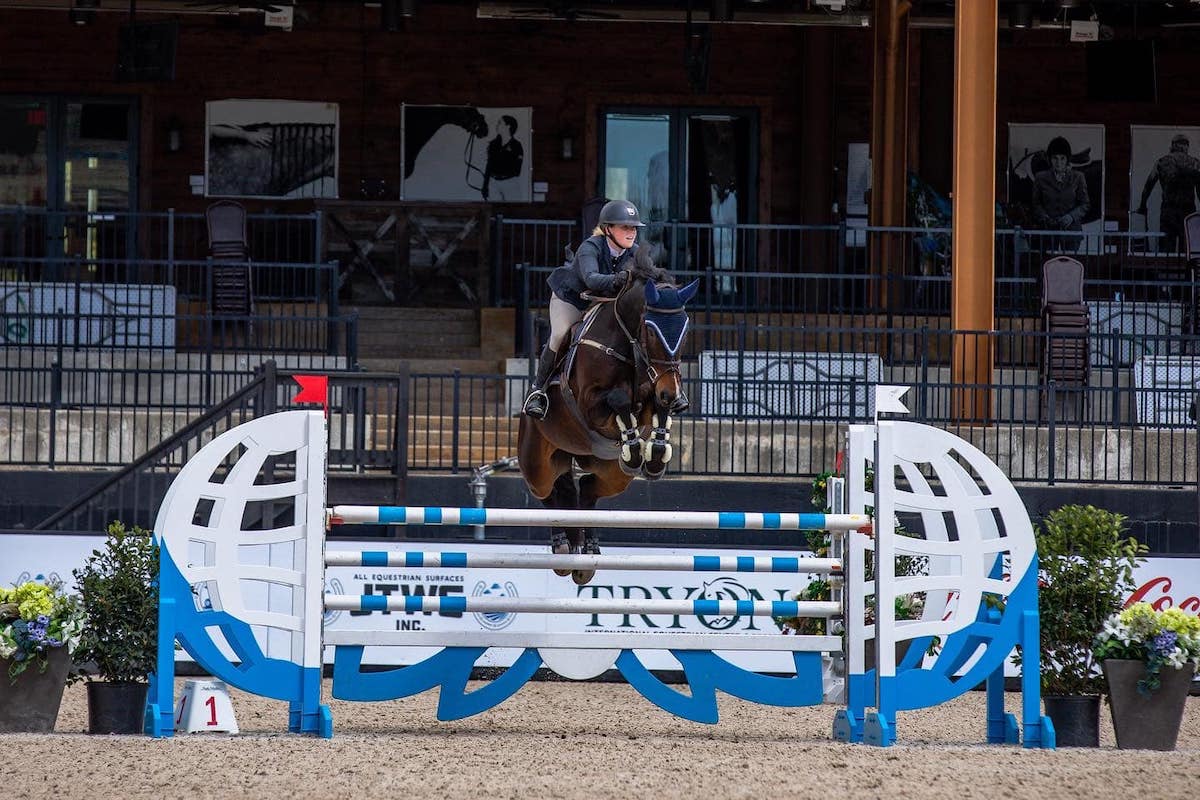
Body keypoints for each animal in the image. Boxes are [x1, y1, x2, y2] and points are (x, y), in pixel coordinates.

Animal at [518, 263, 700, 587]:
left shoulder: (654, 391)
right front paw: (636, 446)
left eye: (685, 328)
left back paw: (587, 553)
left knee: (587, 489)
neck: (628, 346)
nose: (672, 391)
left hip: (612, 472)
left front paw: (653, 455)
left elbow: (657, 409)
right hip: (536, 464)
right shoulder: (590, 403)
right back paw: (563, 548)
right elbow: (619, 399)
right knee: (549, 492)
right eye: (650, 329)